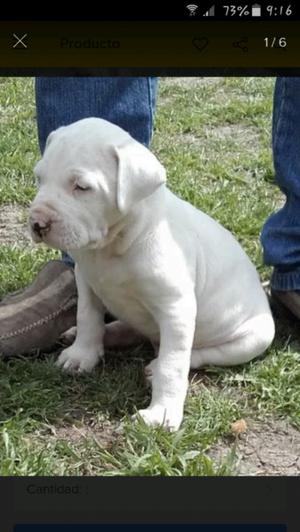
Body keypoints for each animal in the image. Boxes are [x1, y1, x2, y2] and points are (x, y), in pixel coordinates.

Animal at [29, 118, 276, 430]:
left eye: (82, 187)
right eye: (40, 178)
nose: (37, 223)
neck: (114, 245)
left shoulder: (176, 309)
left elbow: (173, 365)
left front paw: (162, 413)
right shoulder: (86, 281)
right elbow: (87, 318)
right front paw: (81, 353)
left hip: (254, 338)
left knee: (198, 354)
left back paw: (156, 365)